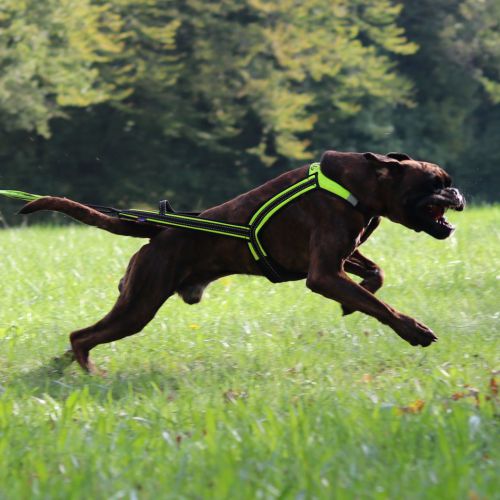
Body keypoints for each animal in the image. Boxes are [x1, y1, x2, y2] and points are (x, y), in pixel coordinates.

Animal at [18, 150, 465, 373]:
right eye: (435, 183)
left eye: (447, 181)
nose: (457, 191)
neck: (359, 185)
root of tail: (159, 230)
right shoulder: (323, 273)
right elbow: (382, 306)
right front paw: (414, 331)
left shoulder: (341, 258)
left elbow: (375, 277)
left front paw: (353, 301)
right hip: (138, 306)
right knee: (82, 336)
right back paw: (89, 372)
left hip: (132, 303)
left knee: (82, 337)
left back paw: (60, 367)